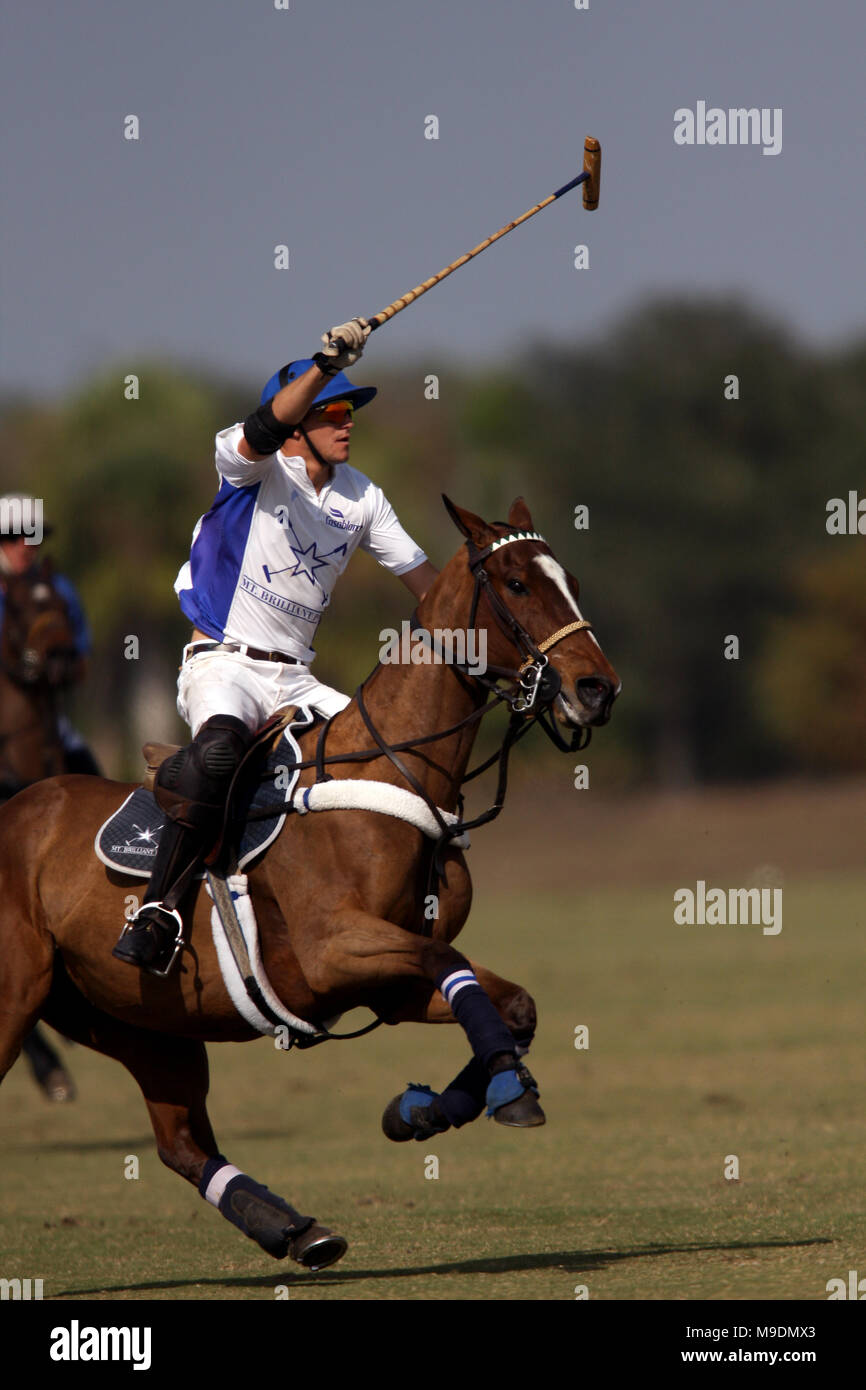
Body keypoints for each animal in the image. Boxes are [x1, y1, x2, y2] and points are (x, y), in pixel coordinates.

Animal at [1, 500, 622, 1273]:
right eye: (515, 583)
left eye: (569, 581)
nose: (598, 689)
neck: (396, 773)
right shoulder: (334, 951)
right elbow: (452, 965)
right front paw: (507, 1091)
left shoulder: (385, 984)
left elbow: (513, 1006)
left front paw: (420, 1111)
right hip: (23, 995)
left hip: (138, 1020)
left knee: (182, 1144)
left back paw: (295, 1230)